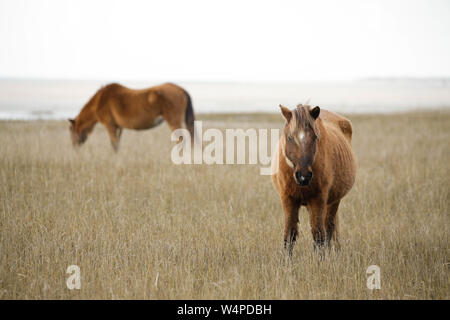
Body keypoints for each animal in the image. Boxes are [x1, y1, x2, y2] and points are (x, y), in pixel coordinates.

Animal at [272, 104, 356, 256]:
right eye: (290, 137)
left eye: (315, 136)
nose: (303, 176)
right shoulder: (288, 199)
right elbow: (289, 234)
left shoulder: (318, 199)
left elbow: (318, 235)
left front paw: (320, 259)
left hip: (334, 201)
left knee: (328, 226)